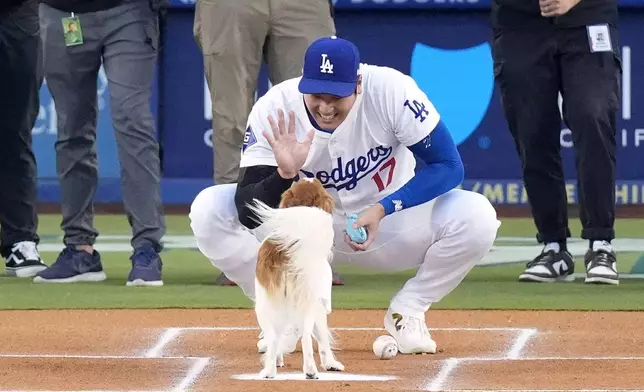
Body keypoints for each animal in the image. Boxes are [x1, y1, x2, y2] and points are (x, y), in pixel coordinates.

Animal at [249, 178, 344, 380]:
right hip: (306, 301)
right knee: (306, 336)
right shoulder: (319, 302)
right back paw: (310, 370)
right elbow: (322, 337)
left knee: (273, 336)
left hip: (264, 304)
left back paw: (270, 370)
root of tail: (282, 253)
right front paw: (331, 364)